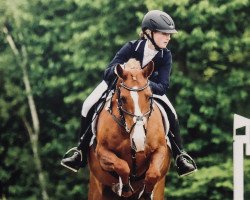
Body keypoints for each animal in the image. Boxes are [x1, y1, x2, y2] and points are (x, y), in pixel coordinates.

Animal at [88, 58, 172, 199]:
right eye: (122, 98)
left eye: (149, 96)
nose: (138, 141)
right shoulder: (102, 152)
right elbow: (122, 166)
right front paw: (125, 187)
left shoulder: (160, 150)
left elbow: (153, 173)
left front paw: (145, 193)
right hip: (97, 188)